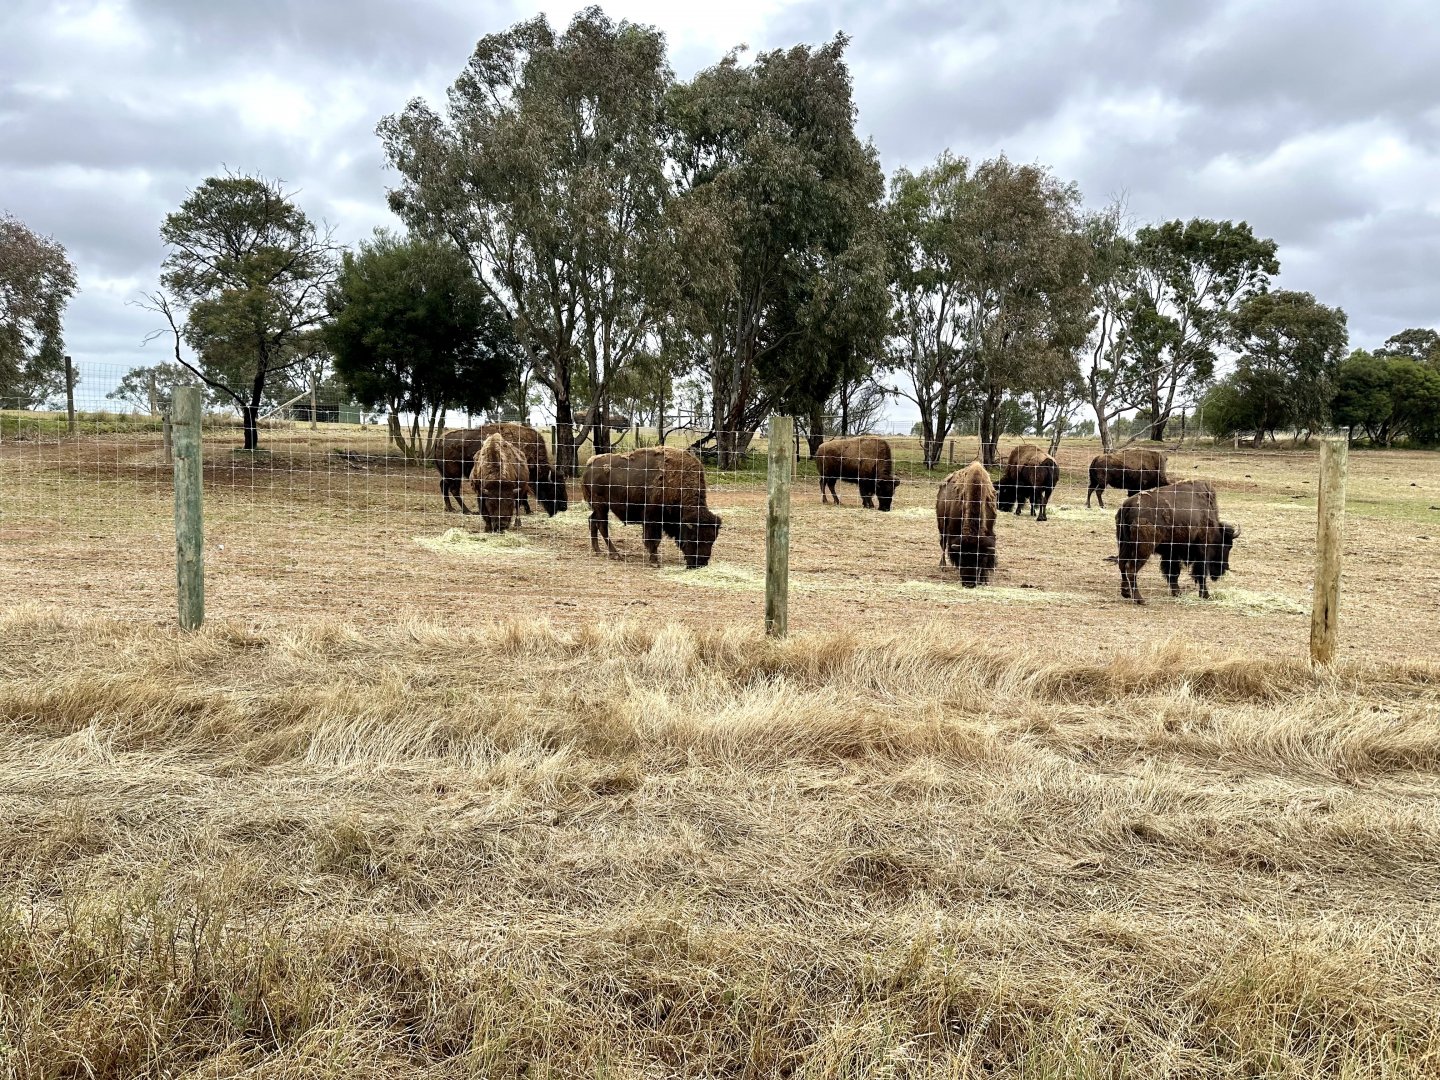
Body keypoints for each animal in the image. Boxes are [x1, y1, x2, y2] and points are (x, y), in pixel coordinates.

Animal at [435, 423, 567, 516]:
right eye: (556, 487)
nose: (564, 507)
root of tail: (439, 441)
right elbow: (523, 495)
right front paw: (527, 510)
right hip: (454, 474)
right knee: (454, 490)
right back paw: (467, 511)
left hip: (448, 474)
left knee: (443, 485)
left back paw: (450, 508)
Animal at [581, 446, 722, 569]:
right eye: (694, 538)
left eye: (712, 539)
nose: (701, 563)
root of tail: (588, 468)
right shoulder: (652, 518)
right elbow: (653, 539)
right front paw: (654, 561)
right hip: (601, 506)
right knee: (602, 526)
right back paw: (615, 555)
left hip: (598, 507)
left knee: (592, 520)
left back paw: (598, 551)